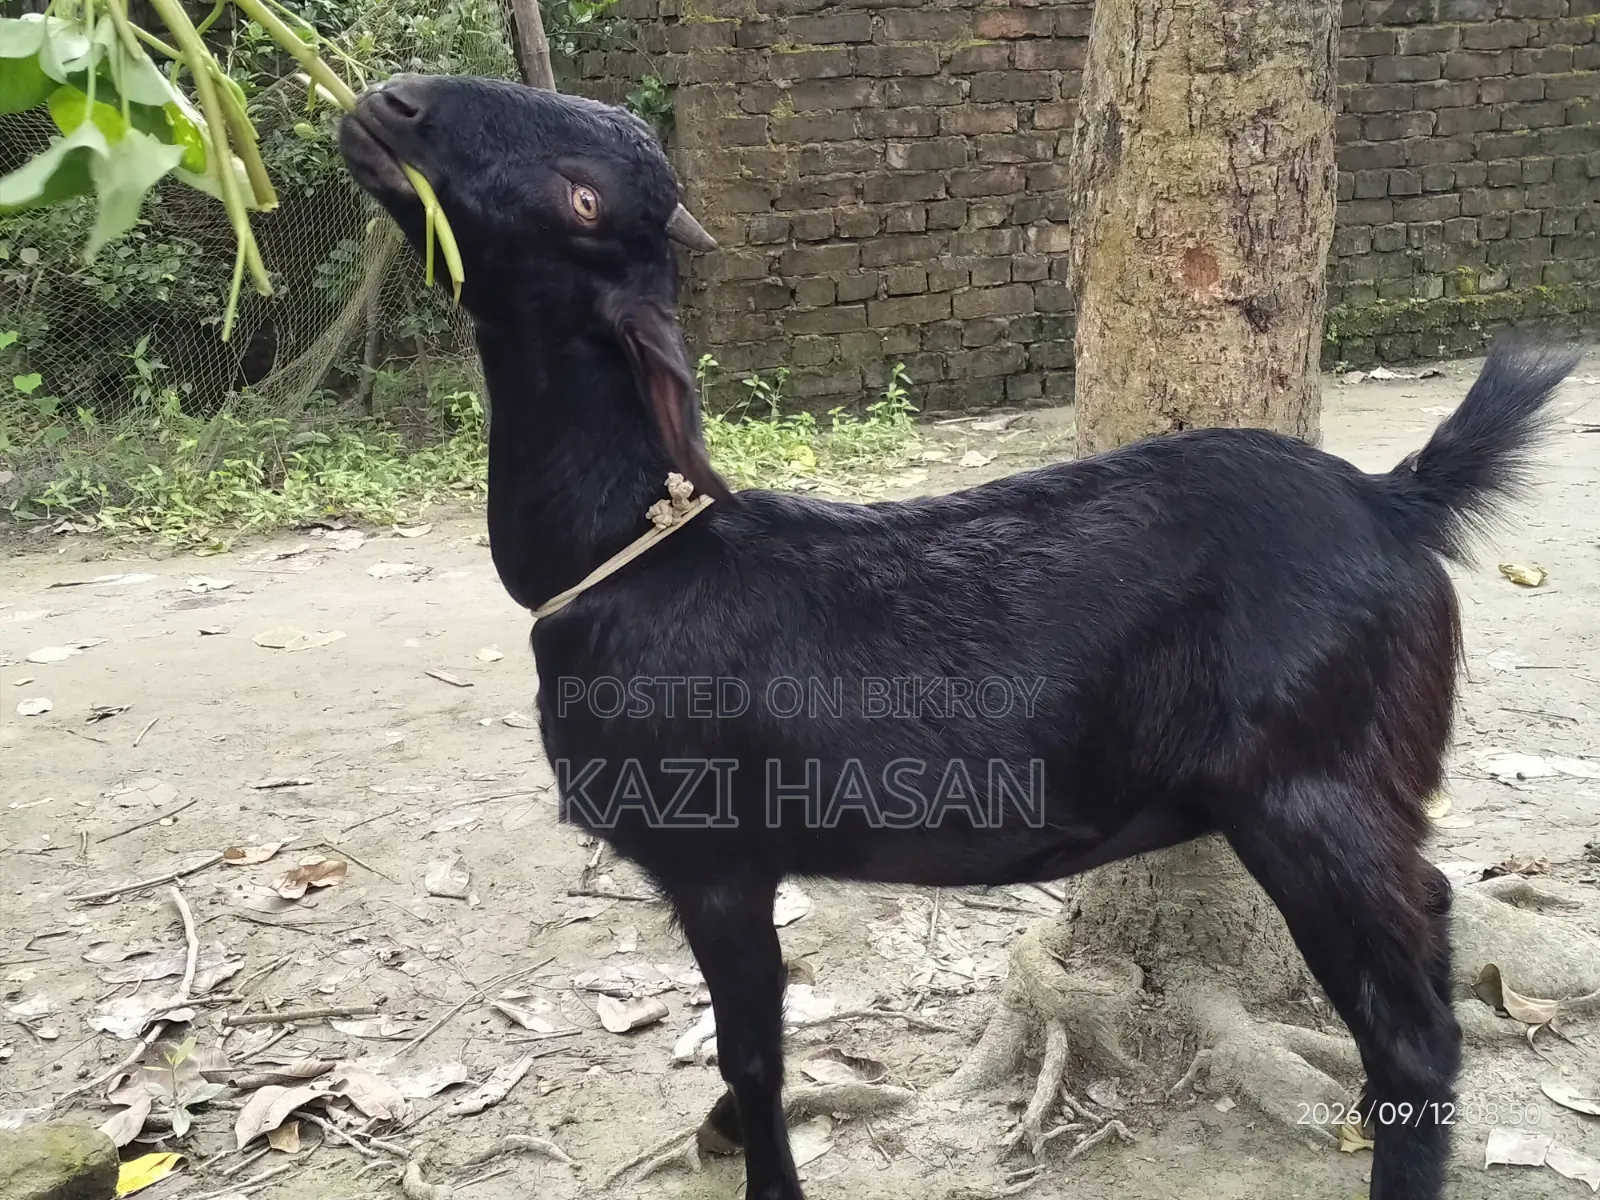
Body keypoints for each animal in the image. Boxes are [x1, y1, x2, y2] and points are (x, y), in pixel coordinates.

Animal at [340, 75, 1577, 1200]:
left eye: (584, 198)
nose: (389, 106)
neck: (639, 552)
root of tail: (1393, 496)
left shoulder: (717, 858)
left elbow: (754, 1052)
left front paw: (755, 1162)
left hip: (1312, 783)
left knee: (1410, 1026)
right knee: (1432, 923)